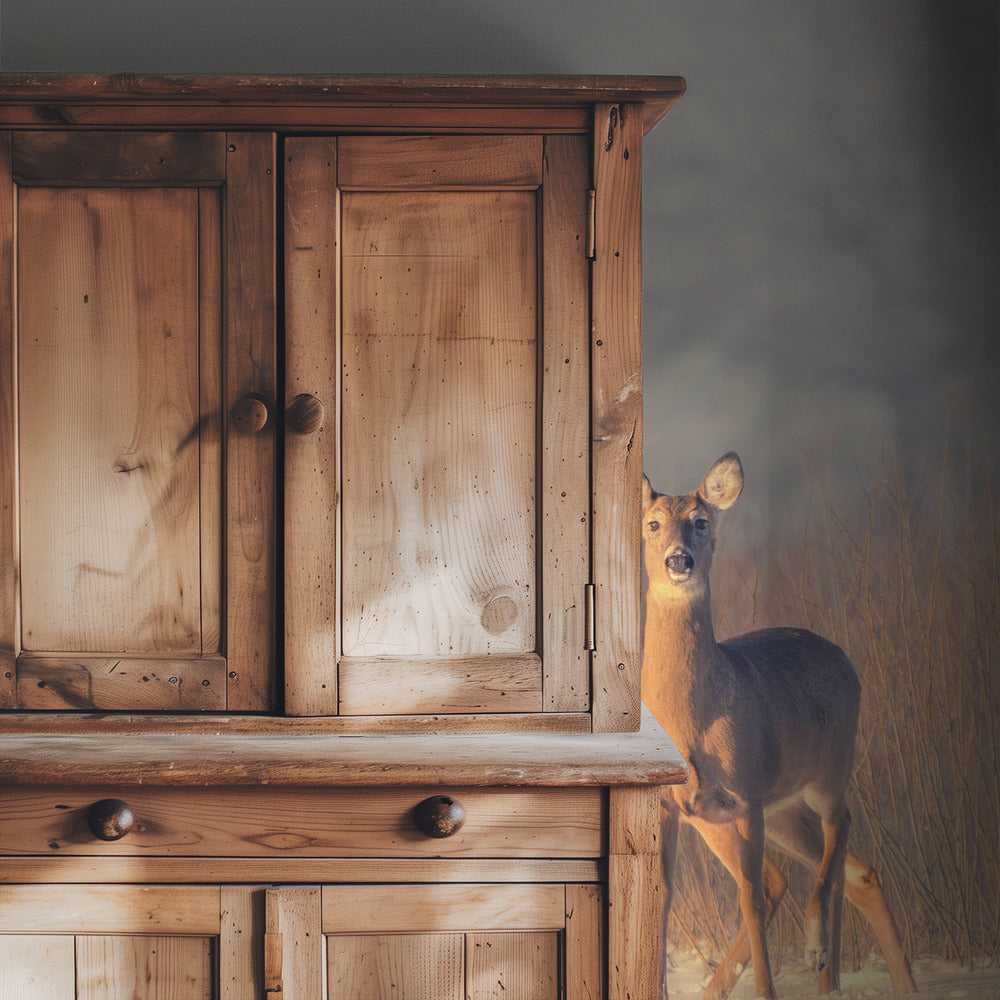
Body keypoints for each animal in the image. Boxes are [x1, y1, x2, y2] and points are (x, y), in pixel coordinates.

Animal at [641, 453, 916, 1000]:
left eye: (701, 522)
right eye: (653, 524)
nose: (679, 560)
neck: (691, 721)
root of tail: (843, 657)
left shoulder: (746, 795)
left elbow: (747, 897)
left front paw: (769, 988)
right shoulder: (672, 804)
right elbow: (663, 895)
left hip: (829, 768)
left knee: (837, 830)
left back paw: (818, 953)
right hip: (776, 808)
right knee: (848, 872)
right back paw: (870, 983)